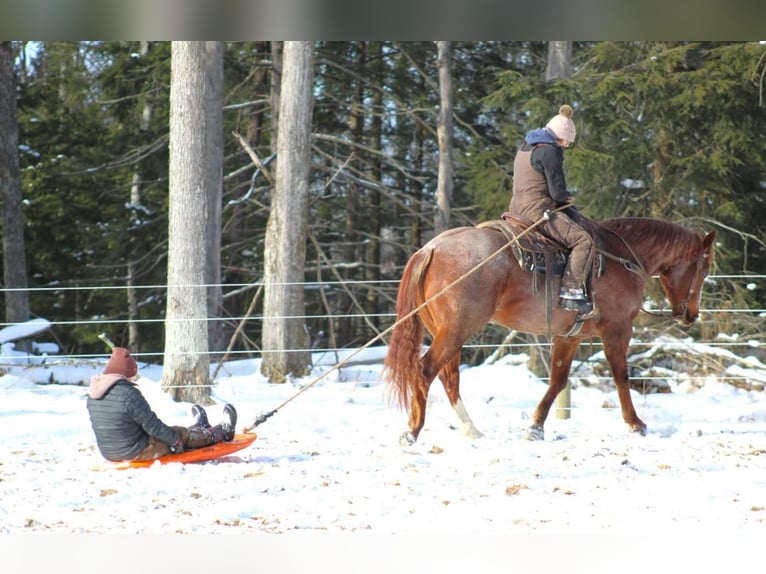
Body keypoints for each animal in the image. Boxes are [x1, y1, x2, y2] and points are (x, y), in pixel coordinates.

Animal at [388, 216, 716, 446]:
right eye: (704, 268)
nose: (691, 314)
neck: (622, 256)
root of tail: (431, 248)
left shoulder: (568, 337)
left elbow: (558, 380)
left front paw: (535, 427)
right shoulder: (618, 329)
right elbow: (621, 376)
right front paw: (635, 423)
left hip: (449, 333)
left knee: (449, 378)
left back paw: (472, 430)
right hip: (456, 330)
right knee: (425, 371)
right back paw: (412, 431)